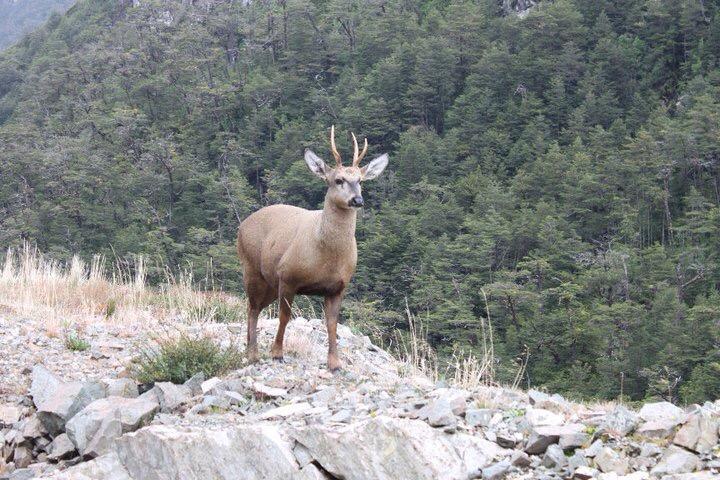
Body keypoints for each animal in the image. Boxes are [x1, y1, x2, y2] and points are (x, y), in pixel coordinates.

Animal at [236, 125, 388, 370]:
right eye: (338, 180)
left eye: (361, 181)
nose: (357, 200)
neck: (325, 254)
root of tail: (242, 225)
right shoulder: (288, 276)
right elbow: (284, 316)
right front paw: (277, 353)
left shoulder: (337, 287)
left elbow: (332, 324)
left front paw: (334, 362)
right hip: (250, 268)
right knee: (251, 307)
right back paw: (253, 354)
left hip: (269, 283)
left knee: (255, 307)